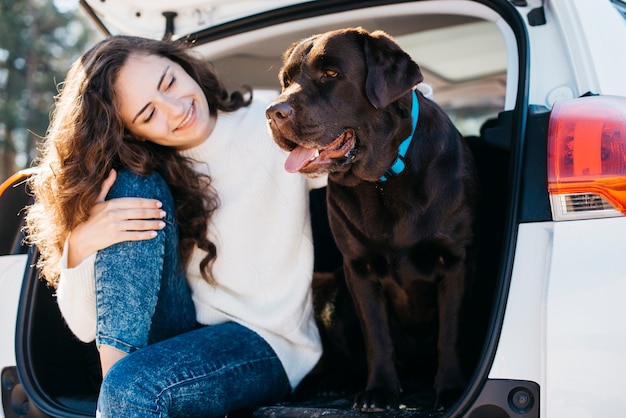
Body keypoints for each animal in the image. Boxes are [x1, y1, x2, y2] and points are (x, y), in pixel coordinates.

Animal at [266, 27, 476, 412]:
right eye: (286, 80)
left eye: (331, 74)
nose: (273, 112)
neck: (383, 179)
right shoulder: (358, 270)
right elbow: (376, 335)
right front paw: (379, 390)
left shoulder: (456, 262)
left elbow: (450, 333)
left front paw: (452, 388)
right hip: (332, 294)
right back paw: (332, 384)